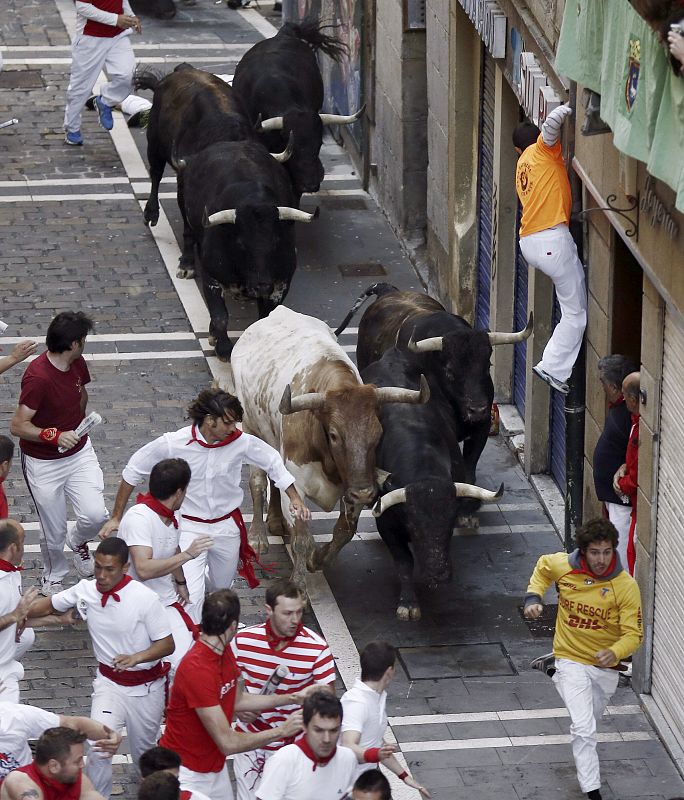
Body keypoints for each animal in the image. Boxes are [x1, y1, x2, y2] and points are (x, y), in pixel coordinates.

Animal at [232, 306, 430, 588]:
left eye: (378, 433)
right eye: (334, 435)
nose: (364, 493)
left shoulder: (355, 485)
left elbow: (344, 531)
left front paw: (318, 559)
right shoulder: (298, 488)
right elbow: (301, 539)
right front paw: (299, 586)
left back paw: (275, 522)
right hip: (251, 427)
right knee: (257, 482)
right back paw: (258, 537)